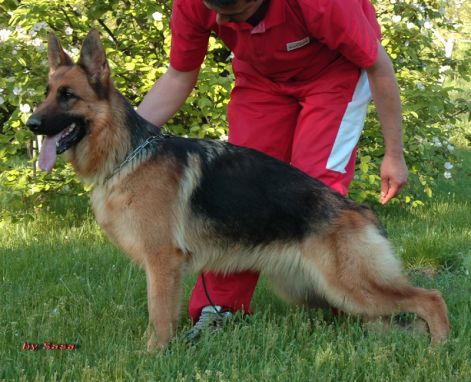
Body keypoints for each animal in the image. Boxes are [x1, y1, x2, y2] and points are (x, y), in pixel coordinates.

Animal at [26, 31, 450, 350]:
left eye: (67, 95)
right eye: (47, 92)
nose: (31, 124)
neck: (127, 153)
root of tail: (360, 209)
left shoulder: (163, 263)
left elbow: (159, 317)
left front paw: (152, 356)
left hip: (351, 284)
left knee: (431, 298)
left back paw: (439, 348)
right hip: (317, 288)